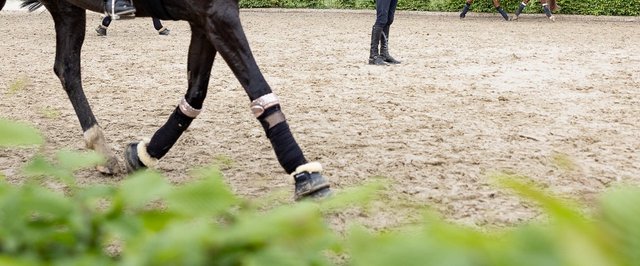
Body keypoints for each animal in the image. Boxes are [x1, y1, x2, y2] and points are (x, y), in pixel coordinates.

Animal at [0, 0, 330, 200]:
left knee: (67, 70)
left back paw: (102, 151)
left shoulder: (204, 21)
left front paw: (146, 152)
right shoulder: (218, 15)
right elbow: (259, 90)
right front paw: (304, 173)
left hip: (67, 8)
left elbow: (195, 94)